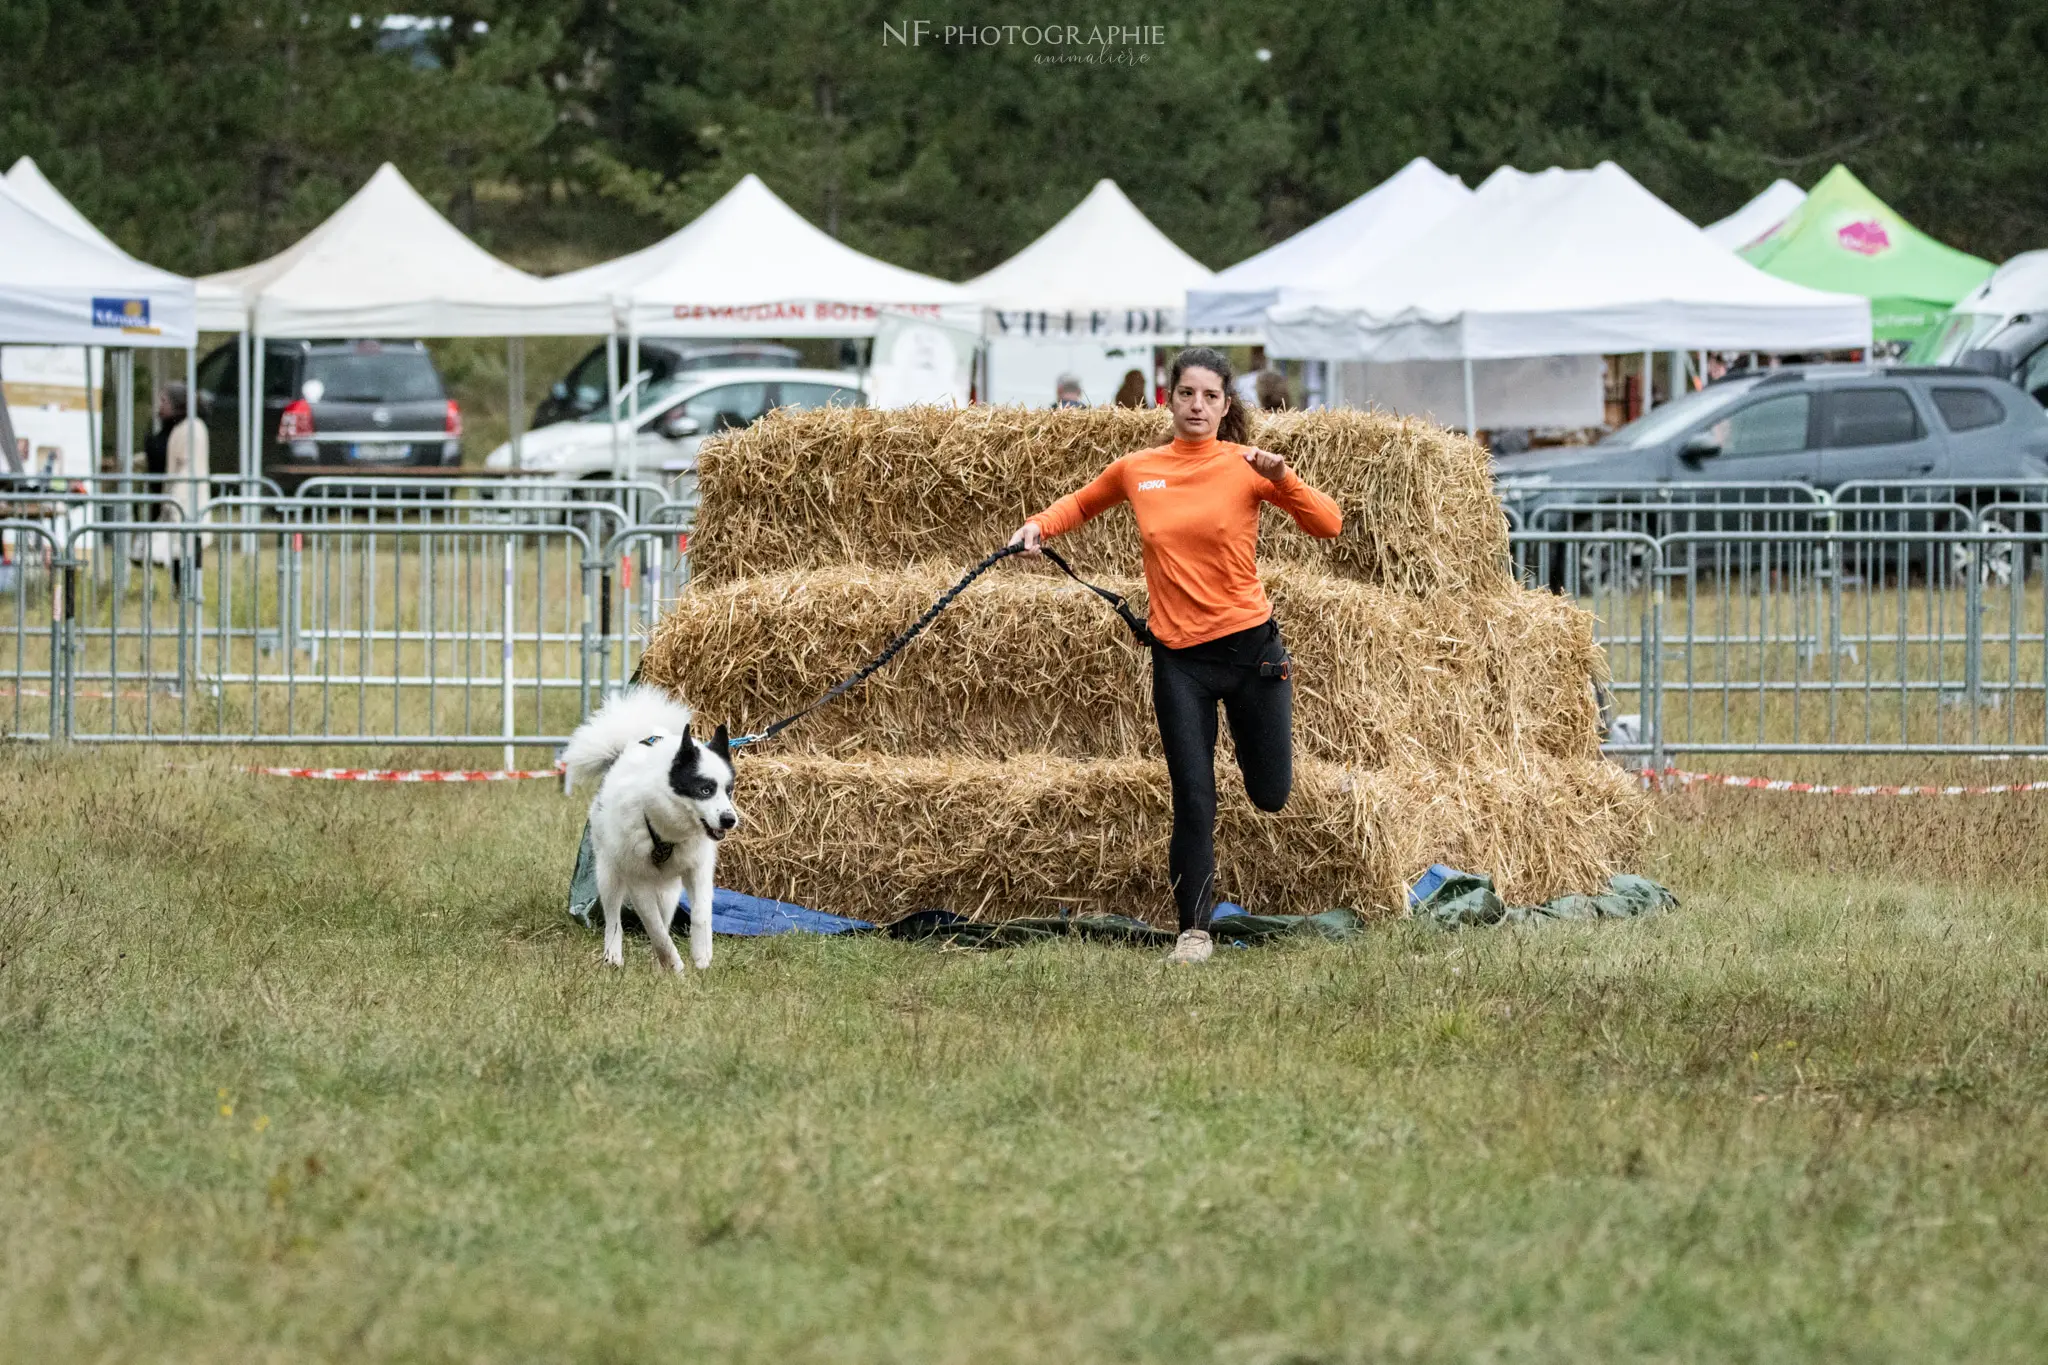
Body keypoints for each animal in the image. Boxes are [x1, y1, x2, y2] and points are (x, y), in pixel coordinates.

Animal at [565, 687, 741, 978]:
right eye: (704, 789)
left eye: (729, 791)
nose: (729, 820)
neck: (668, 832)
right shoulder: (638, 881)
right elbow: (655, 928)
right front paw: (676, 964)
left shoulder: (698, 870)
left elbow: (700, 914)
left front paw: (701, 956)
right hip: (609, 875)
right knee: (614, 919)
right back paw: (613, 956)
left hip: (669, 891)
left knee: (666, 915)